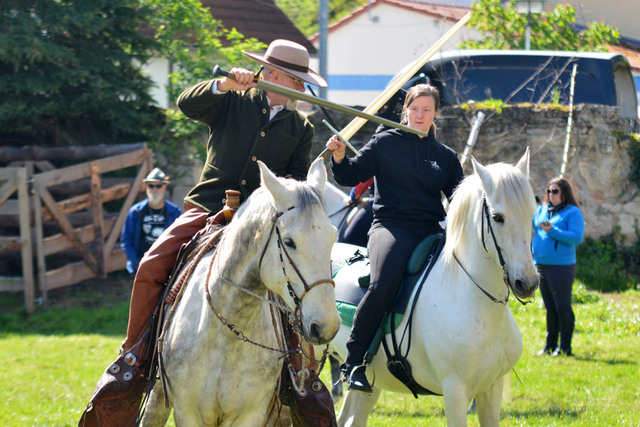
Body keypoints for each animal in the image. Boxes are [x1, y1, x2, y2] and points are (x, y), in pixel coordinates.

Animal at [138, 159, 342, 426]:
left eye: (332, 237)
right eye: (289, 242)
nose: (327, 325)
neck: (227, 332)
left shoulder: (251, 415)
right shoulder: (187, 413)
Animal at [328, 151, 536, 427]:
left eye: (531, 213)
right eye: (497, 217)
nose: (528, 282)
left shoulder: (490, 390)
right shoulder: (455, 392)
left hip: (371, 385)